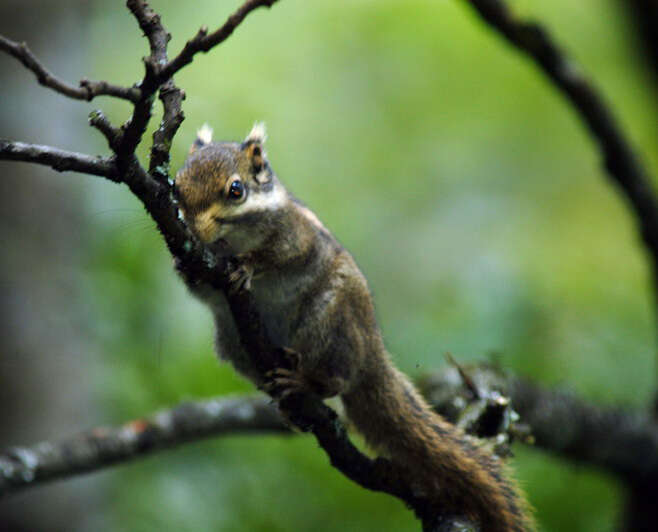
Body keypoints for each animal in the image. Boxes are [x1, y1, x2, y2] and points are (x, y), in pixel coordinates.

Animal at [173, 122, 528, 528]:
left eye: (236, 190)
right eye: (176, 186)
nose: (194, 230)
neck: (226, 243)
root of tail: (372, 353)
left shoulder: (297, 236)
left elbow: (278, 254)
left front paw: (247, 266)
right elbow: (198, 287)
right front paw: (186, 265)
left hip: (329, 324)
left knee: (335, 381)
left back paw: (305, 382)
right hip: (234, 343)